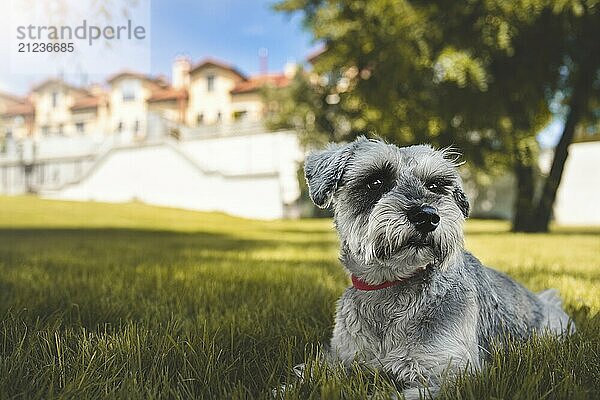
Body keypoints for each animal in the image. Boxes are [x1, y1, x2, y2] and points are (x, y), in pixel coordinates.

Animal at [302, 137, 576, 396]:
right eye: (376, 181)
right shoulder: (339, 358)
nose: (427, 216)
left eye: (434, 185)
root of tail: (546, 302)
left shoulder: (452, 374)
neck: (391, 286)